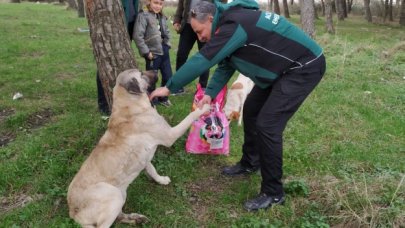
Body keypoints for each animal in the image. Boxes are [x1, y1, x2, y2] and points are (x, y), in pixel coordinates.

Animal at [66, 69, 210, 228]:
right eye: (141, 74)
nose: (155, 69)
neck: (128, 103)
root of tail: (72, 211)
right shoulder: (169, 135)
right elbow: (189, 117)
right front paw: (204, 108)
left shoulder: (144, 158)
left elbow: (152, 170)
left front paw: (161, 180)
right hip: (113, 194)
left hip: (120, 195)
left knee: (119, 216)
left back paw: (136, 218)